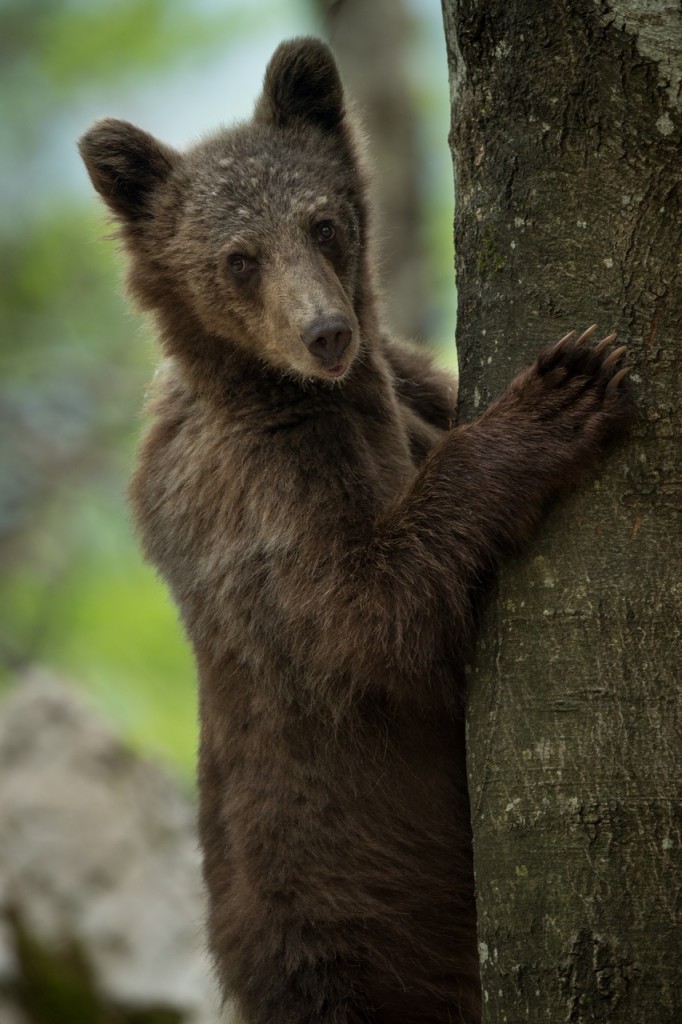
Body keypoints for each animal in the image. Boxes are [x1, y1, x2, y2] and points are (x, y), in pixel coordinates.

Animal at [78, 37, 632, 1024]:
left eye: (324, 223)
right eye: (239, 257)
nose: (327, 333)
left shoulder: (397, 385)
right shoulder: (267, 496)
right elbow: (367, 616)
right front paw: (566, 388)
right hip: (348, 933)